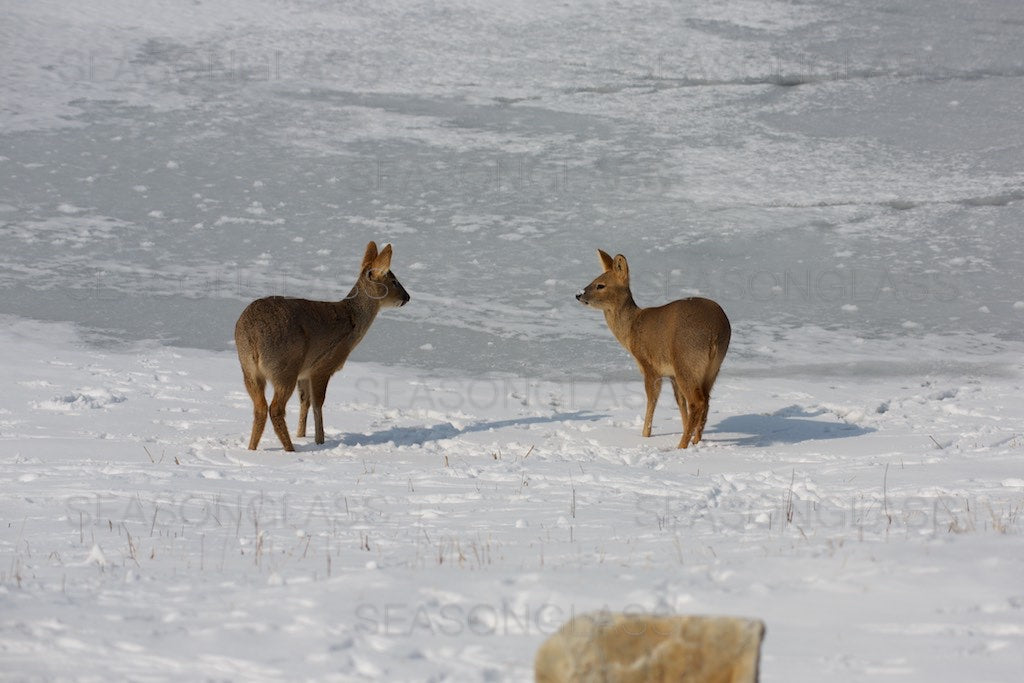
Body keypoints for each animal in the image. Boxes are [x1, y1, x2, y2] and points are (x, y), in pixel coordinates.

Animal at [234, 241, 407, 454]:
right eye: (394, 281)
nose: (407, 297)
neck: (352, 321)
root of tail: (253, 336)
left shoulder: (304, 372)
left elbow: (305, 401)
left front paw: (302, 434)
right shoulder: (323, 366)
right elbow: (318, 403)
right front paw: (320, 440)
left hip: (249, 369)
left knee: (260, 408)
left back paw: (252, 448)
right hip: (284, 367)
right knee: (275, 408)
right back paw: (290, 449)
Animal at [577, 250, 729, 448]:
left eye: (600, 285)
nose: (578, 295)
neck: (631, 329)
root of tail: (715, 333)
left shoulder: (649, 366)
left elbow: (652, 399)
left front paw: (645, 435)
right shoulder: (671, 374)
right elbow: (680, 403)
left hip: (686, 361)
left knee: (698, 402)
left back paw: (681, 446)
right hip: (711, 368)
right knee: (705, 401)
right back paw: (695, 441)